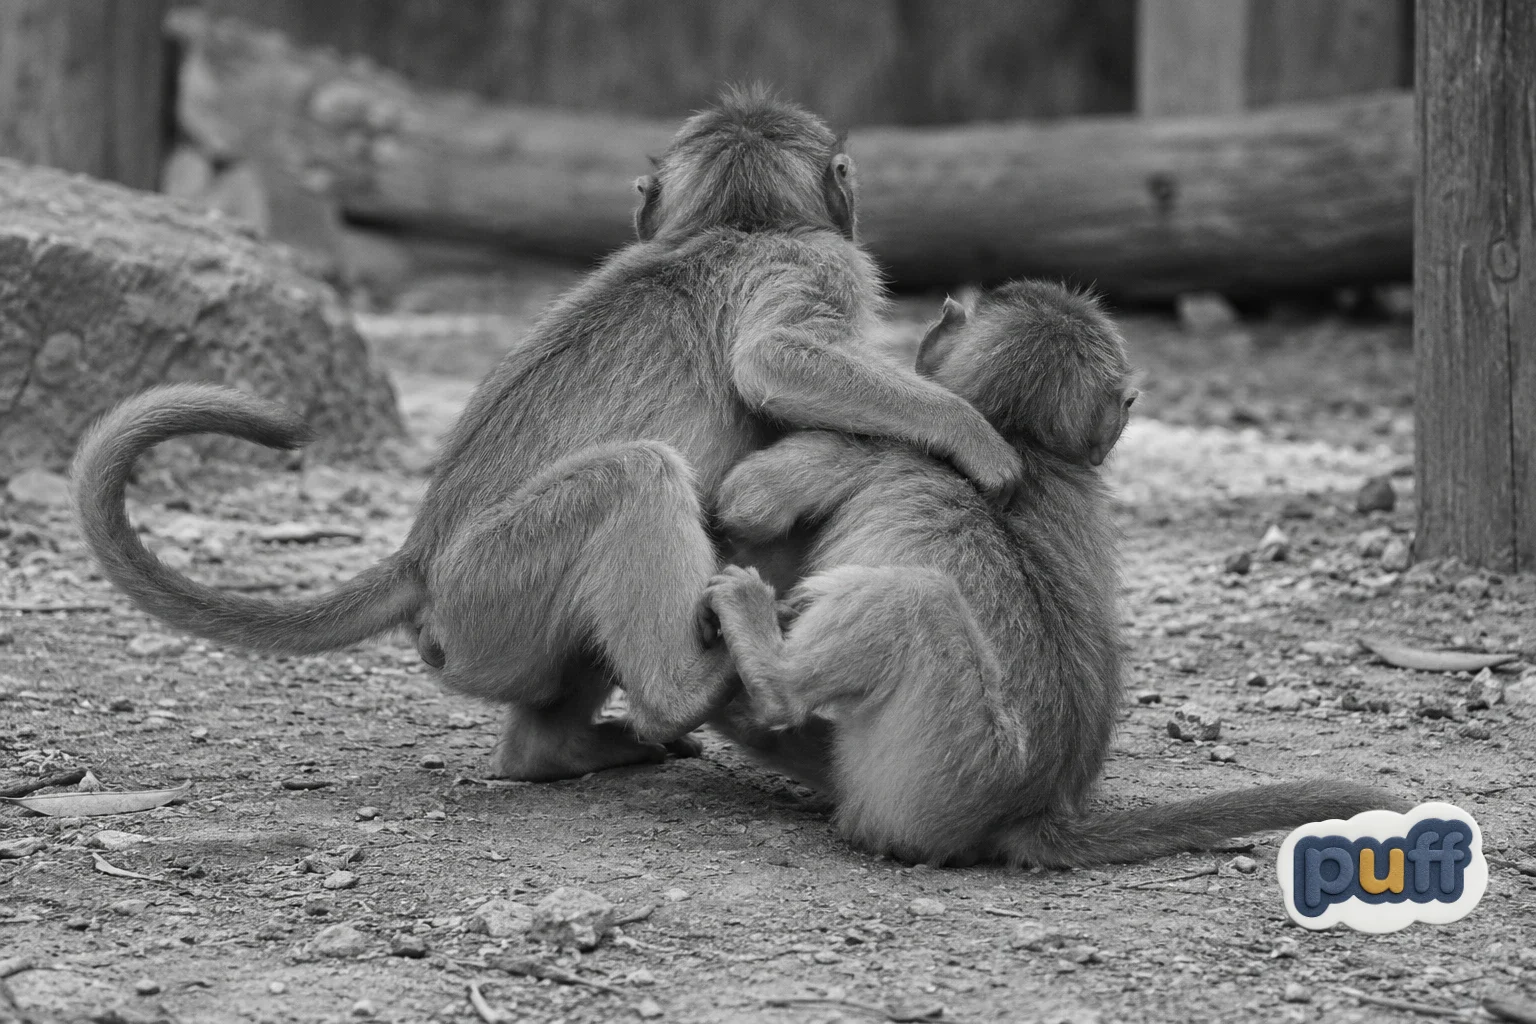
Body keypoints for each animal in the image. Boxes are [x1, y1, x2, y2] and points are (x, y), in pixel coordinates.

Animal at [70, 86, 1026, 783]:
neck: (736, 220)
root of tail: (422, 558)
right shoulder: (819, 260)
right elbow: (774, 360)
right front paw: (973, 436)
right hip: (492, 588)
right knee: (640, 477)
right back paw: (697, 686)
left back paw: (553, 750)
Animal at [701, 280, 1407, 868]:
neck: (1017, 435)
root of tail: (1033, 807)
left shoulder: (863, 446)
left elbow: (747, 502)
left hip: (940, 771)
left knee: (915, 603)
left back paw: (768, 672)